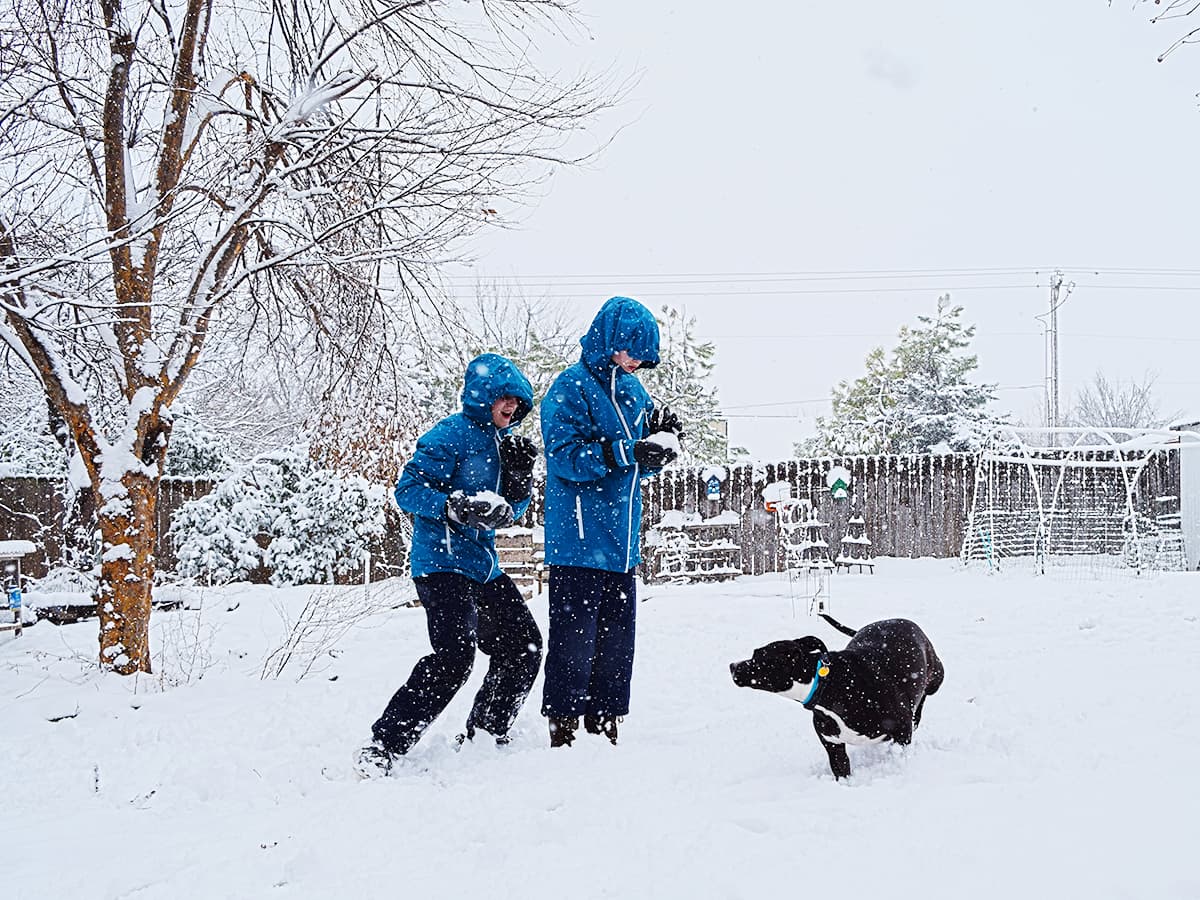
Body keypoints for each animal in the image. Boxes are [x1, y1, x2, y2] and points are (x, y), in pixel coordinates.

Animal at [724, 614, 940, 782]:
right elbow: (841, 769)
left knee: (923, 698)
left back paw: (917, 717)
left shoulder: (901, 732)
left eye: (758, 656)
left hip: (936, 679)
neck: (826, 683)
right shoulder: (833, 746)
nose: (732, 666)